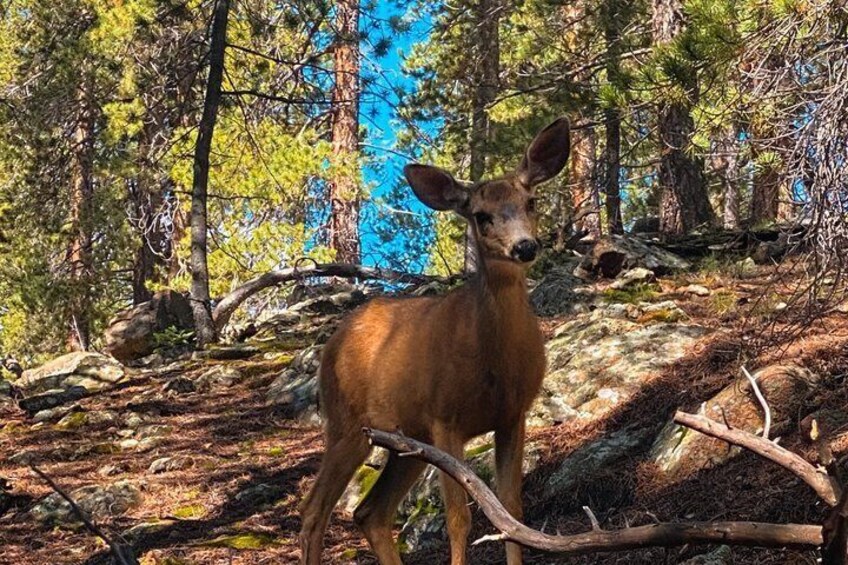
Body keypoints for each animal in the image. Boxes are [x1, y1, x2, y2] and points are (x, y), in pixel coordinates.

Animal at [299, 117, 571, 565]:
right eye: (480, 216)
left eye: (530, 202)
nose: (525, 246)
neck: (495, 363)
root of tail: (333, 340)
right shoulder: (446, 418)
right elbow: (459, 519)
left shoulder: (513, 415)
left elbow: (513, 513)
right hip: (346, 423)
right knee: (313, 510)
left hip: (406, 440)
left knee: (369, 512)